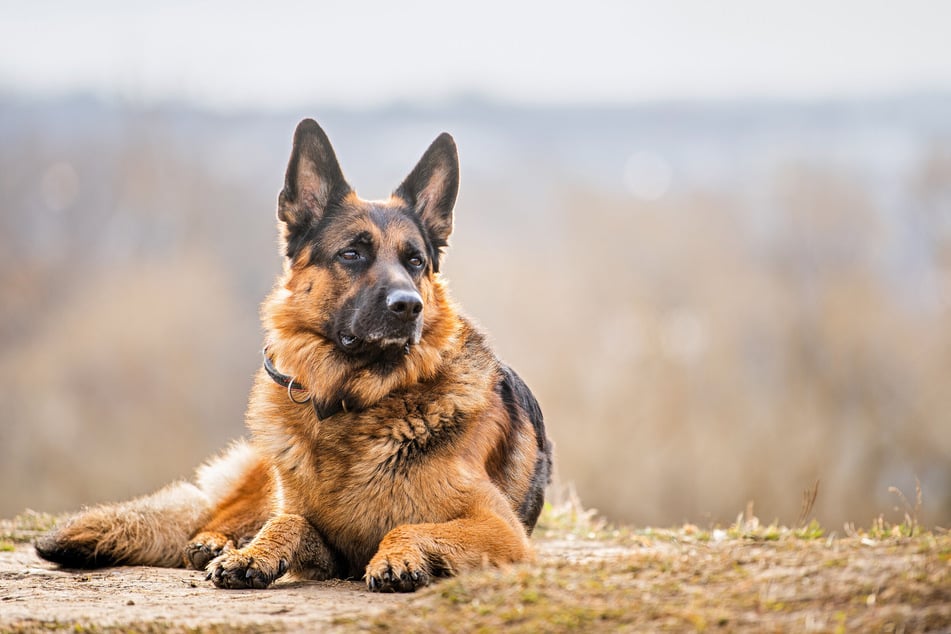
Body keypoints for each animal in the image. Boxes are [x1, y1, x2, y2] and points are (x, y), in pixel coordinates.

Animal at [35, 118, 552, 592]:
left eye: (415, 261)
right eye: (351, 255)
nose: (409, 306)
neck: (354, 403)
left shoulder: (501, 531)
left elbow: (409, 525)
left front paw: (397, 557)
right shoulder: (322, 539)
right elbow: (289, 520)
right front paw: (252, 555)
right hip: (265, 475)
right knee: (218, 515)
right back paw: (217, 542)